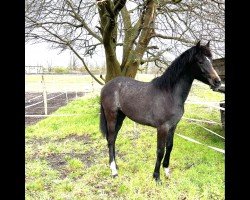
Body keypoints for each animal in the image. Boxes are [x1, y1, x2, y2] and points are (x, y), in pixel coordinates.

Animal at [99, 40, 221, 183]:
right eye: (200, 61)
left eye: (211, 60)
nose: (217, 82)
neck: (169, 94)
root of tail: (107, 86)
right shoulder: (162, 128)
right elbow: (160, 151)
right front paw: (156, 177)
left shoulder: (172, 126)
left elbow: (170, 147)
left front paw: (167, 171)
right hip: (111, 116)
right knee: (111, 139)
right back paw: (114, 170)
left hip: (120, 117)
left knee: (113, 139)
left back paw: (115, 165)